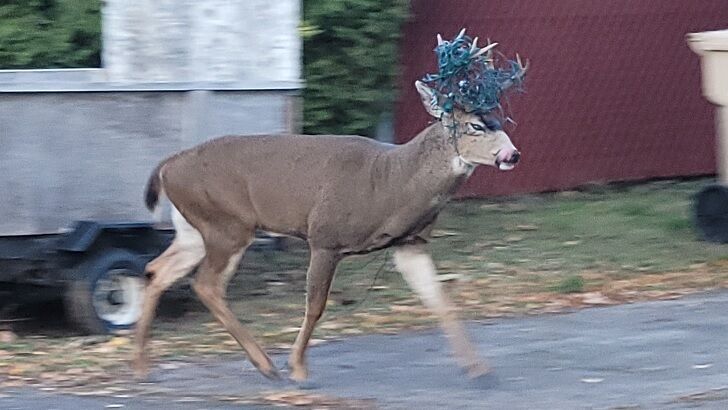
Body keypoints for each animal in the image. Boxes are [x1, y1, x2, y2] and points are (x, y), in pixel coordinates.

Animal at [132, 31, 528, 382]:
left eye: (500, 120)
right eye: (475, 125)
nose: (512, 154)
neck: (391, 183)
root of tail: (168, 165)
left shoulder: (410, 243)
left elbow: (439, 298)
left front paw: (479, 370)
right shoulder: (325, 236)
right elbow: (316, 305)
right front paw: (298, 368)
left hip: (195, 228)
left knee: (157, 269)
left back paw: (143, 365)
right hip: (227, 223)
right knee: (206, 284)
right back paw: (266, 365)